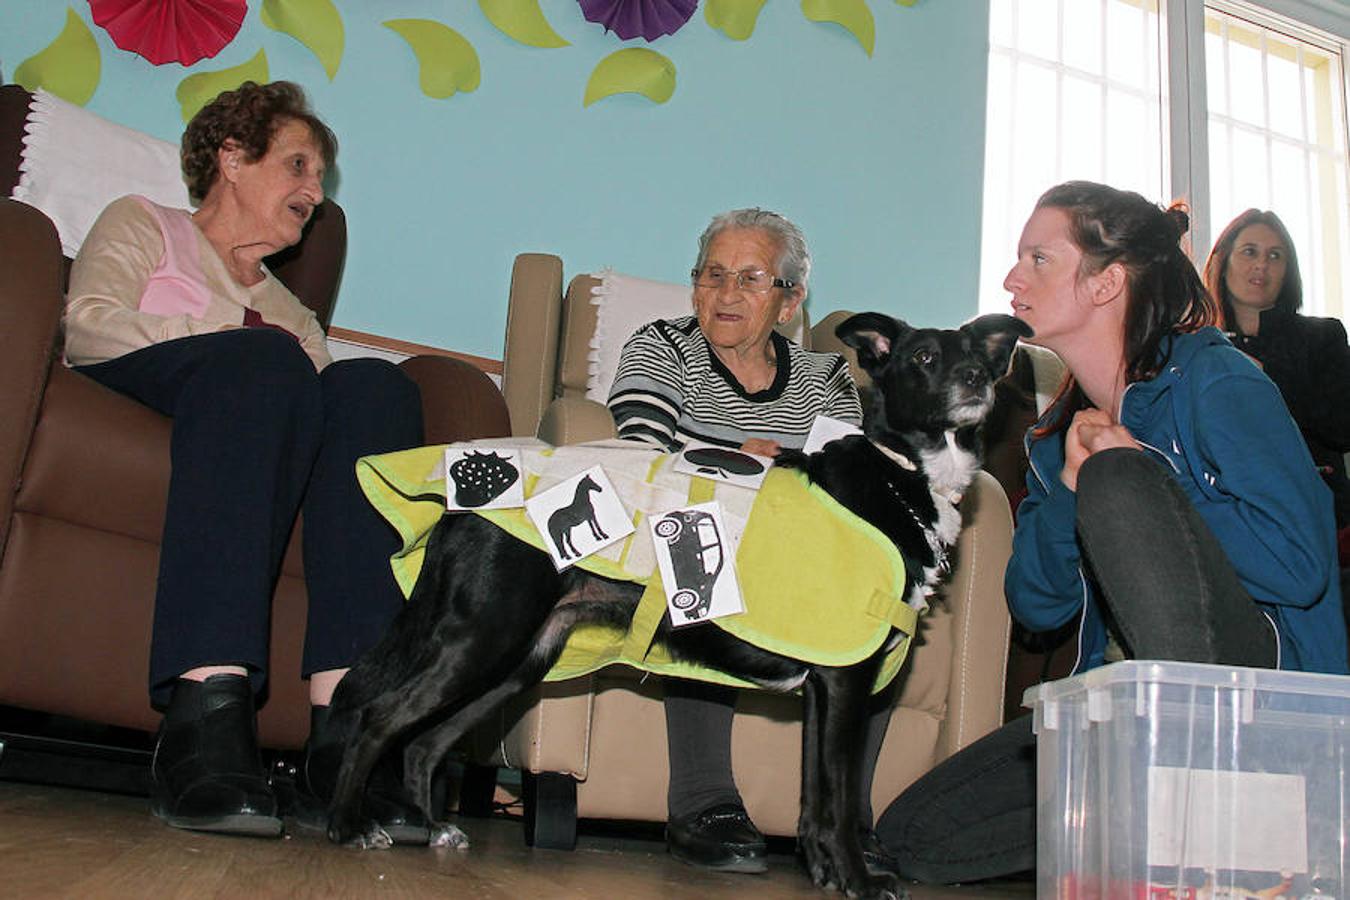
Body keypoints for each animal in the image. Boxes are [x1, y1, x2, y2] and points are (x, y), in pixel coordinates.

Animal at [321, 311, 1026, 900]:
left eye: (979, 358)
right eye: (925, 356)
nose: (973, 379)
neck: (900, 475)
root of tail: (461, 509)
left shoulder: (823, 689)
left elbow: (812, 800)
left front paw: (825, 873)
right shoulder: (847, 681)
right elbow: (842, 798)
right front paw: (857, 878)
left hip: (521, 660)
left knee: (424, 744)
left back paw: (433, 827)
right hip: (482, 638)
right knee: (380, 719)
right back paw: (349, 826)